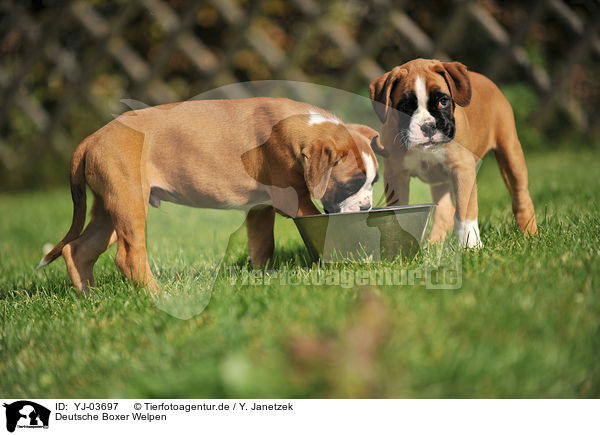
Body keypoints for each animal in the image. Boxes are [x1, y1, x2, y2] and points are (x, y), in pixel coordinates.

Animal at [38, 99, 380, 296]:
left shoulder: (261, 207)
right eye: (350, 185)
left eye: (373, 181)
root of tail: (92, 138)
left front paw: (262, 278)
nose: (367, 207)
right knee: (129, 257)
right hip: (128, 204)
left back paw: (89, 298)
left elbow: (262, 245)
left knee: (77, 249)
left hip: (110, 210)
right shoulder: (295, 200)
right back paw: (158, 296)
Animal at [368, 58, 536, 249]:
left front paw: (471, 245)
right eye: (404, 107)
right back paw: (433, 245)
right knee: (444, 214)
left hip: (510, 152)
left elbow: (465, 211)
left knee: (520, 194)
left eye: (443, 101)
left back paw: (529, 232)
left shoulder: (463, 170)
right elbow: (398, 213)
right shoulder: (396, 175)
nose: (428, 126)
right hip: (440, 181)